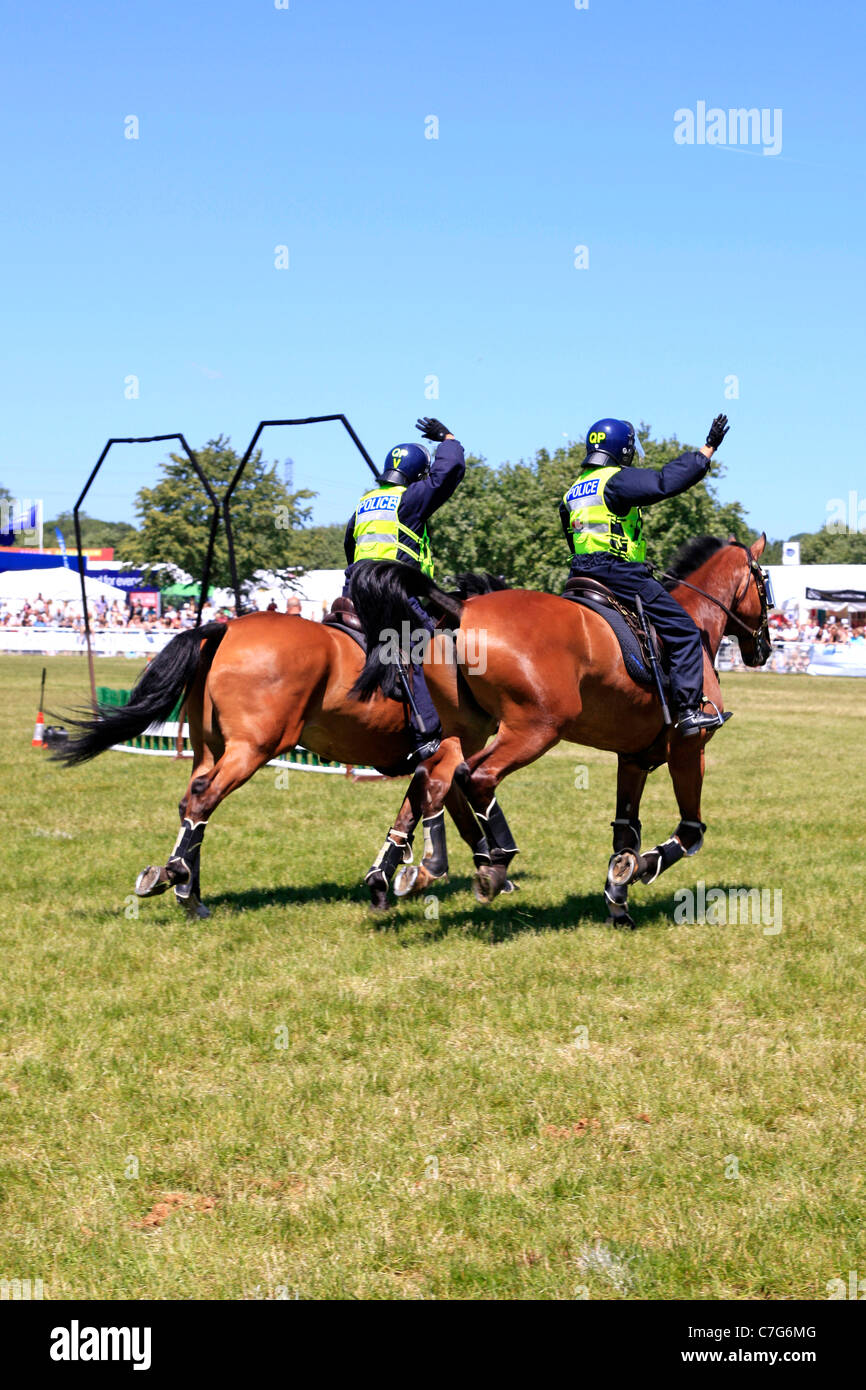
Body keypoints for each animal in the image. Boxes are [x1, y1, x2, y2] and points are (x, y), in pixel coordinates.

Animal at [59, 611, 500, 917]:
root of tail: (226, 629)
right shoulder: (449, 755)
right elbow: (453, 817)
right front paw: (487, 870)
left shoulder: (434, 761)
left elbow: (414, 816)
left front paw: (383, 884)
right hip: (252, 749)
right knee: (203, 799)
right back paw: (182, 884)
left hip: (210, 751)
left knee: (190, 803)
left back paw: (183, 887)